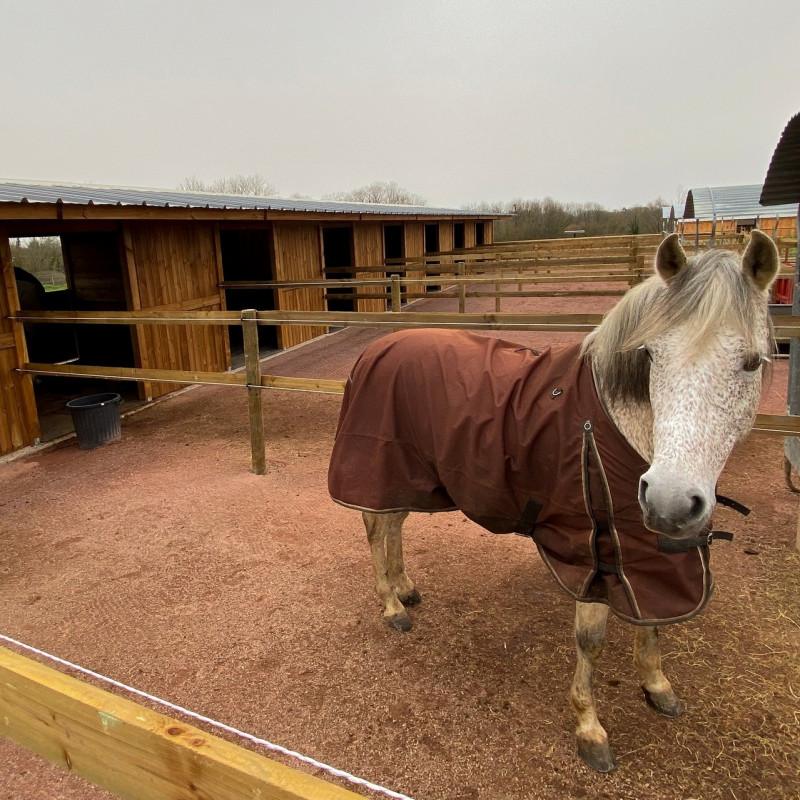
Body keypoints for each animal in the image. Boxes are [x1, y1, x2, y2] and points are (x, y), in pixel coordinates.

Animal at [328, 231, 780, 768]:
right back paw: (392, 607)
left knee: (393, 524)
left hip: (409, 475)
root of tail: (376, 347)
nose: (669, 501)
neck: (612, 423)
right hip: (380, 464)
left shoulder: (644, 550)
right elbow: (591, 640)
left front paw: (657, 686)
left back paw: (405, 588)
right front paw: (589, 729)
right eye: (650, 355)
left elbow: (652, 621)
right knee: (377, 529)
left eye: (751, 362)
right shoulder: (594, 549)